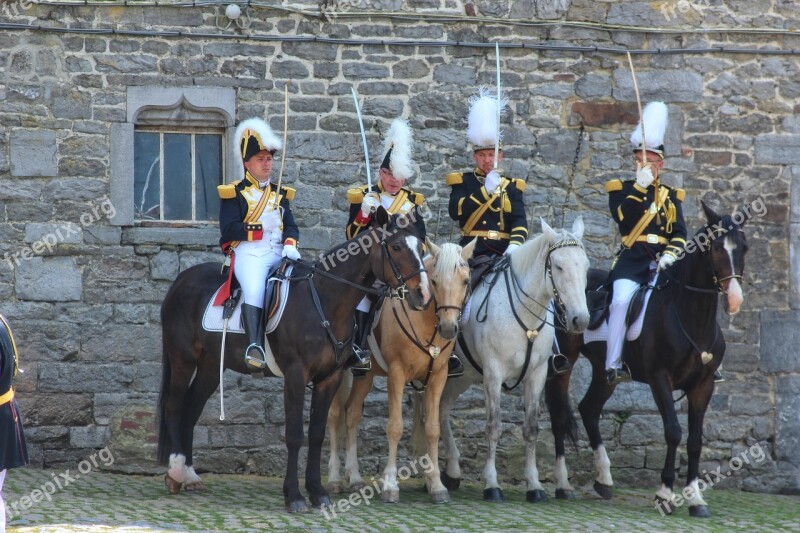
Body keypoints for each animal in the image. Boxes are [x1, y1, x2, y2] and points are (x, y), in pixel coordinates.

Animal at [158, 208, 432, 512]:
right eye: (395, 247)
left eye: (421, 248)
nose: (423, 294)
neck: (325, 299)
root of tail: (181, 280)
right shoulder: (295, 376)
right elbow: (294, 435)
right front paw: (294, 495)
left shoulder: (329, 378)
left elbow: (316, 434)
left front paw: (318, 492)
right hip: (182, 360)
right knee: (174, 406)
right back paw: (175, 471)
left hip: (208, 366)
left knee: (191, 409)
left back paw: (190, 475)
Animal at [326, 240, 476, 502]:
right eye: (435, 280)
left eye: (465, 281)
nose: (448, 328)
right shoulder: (397, 374)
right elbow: (395, 427)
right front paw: (390, 485)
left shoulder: (438, 376)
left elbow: (432, 428)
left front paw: (436, 484)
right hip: (341, 372)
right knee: (335, 415)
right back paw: (335, 478)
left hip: (366, 376)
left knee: (351, 414)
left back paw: (354, 478)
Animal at [422, 218, 592, 500]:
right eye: (558, 266)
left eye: (586, 266)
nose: (581, 319)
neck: (526, 313)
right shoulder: (493, 373)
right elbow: (493, 426)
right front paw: (492, 484)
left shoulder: (537, 374)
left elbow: (531, 429)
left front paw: (534, 485)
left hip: (462, 376)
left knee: (442, 408)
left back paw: (453, 471)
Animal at [544, 202, 752, 516]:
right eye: (716, 247)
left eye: (745, 247)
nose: (735, 299)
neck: (690, 318)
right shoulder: (659, 378)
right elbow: (673, 431)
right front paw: (665, 493)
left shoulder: (703, 386)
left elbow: (695, 441)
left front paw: (695, 498)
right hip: (563, 364)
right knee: (559, 416)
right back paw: (563, 484)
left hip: (606, 372)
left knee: (589, 409)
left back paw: (604, 480)